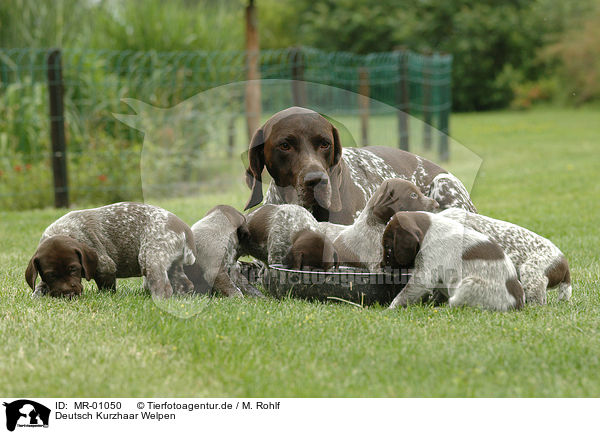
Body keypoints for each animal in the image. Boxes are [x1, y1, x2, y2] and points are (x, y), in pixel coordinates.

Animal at [26, 203, 195, 298]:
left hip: (151, 257)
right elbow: (40, 287)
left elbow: (106, 288)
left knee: (163, 287)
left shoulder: (105, 267)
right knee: (184, 285)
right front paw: (38, 295)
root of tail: (185, 229)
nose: (68, 295)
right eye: (51, 275)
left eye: (74, 269)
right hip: (173, 264)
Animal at [382, 211, 524, 310]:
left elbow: (403, 295)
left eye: (388, 248)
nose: (382, 266)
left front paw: (389, 310)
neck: (428, 230)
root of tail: (517, 303)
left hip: (469, 284)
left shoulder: (425, 273)